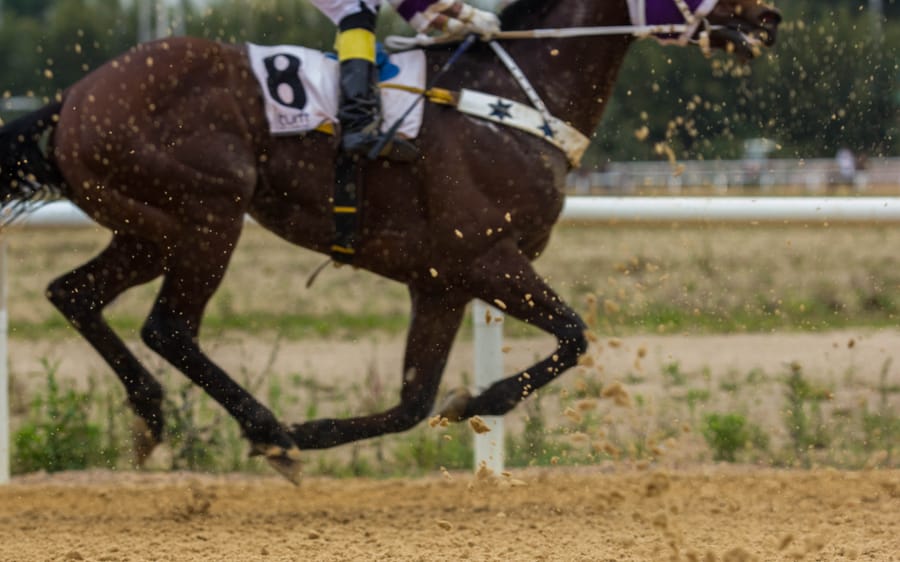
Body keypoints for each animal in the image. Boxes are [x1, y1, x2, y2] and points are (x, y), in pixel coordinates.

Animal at [0, 0, 780, 482]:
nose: (768, 16)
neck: (513, 101)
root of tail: (77, 96)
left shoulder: (441, 283)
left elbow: (411, 402)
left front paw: (327, 429)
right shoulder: (487, 258)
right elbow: (573, 337)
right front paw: (478, 401)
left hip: (145, 227)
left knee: (72, 293)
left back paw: (160, 413)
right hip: (207, 216)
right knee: (167, 326)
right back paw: (263, 426)